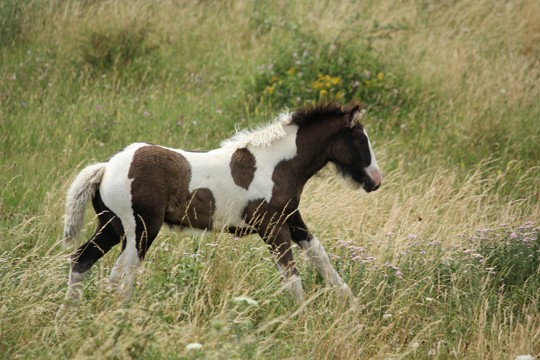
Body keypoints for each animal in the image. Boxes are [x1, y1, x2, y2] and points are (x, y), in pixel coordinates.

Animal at [63, 102, 382, 302]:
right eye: (361, 140)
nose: (375, 180)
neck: (276, 165)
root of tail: (105, 167)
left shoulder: (292, 218)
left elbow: (320, 255)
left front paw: (351, 304)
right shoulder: (273, 228)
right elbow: (291, 277)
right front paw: (300, 320)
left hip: (112, 226)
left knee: (82, 261)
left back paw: (71, 315)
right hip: (140, 229)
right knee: (121, 274)